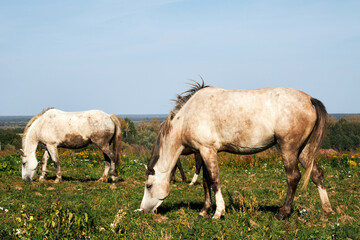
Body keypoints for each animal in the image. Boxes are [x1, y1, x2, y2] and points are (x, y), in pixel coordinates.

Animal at [139, 82, 334, 219]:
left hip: (289, 148)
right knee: (317, 174)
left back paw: (283, 213)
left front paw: (218, 212)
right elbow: (206, 181)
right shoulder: (203, 152)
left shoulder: (207, 150)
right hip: (304, 150)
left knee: (293, 177)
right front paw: (204, 210)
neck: (188, 116)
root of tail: (309, 99)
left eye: (149, 185)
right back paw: (327, 210)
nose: (142, 210)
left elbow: (215, 181)